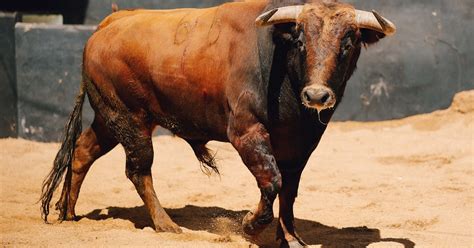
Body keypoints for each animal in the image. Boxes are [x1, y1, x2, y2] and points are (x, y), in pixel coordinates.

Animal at [41, 0, 396, 246]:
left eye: (348, 44)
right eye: (300, 42)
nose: (317, 95)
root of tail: (108, 23)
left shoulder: (302, 143)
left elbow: (289, 191)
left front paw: (292, 238)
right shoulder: (246, 132)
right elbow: (272, 181)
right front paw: (250, 224)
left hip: (109, 117)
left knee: (83, 150)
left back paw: (68, 213)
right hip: (130, 119)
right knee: (138, 170)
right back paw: (166, 224)